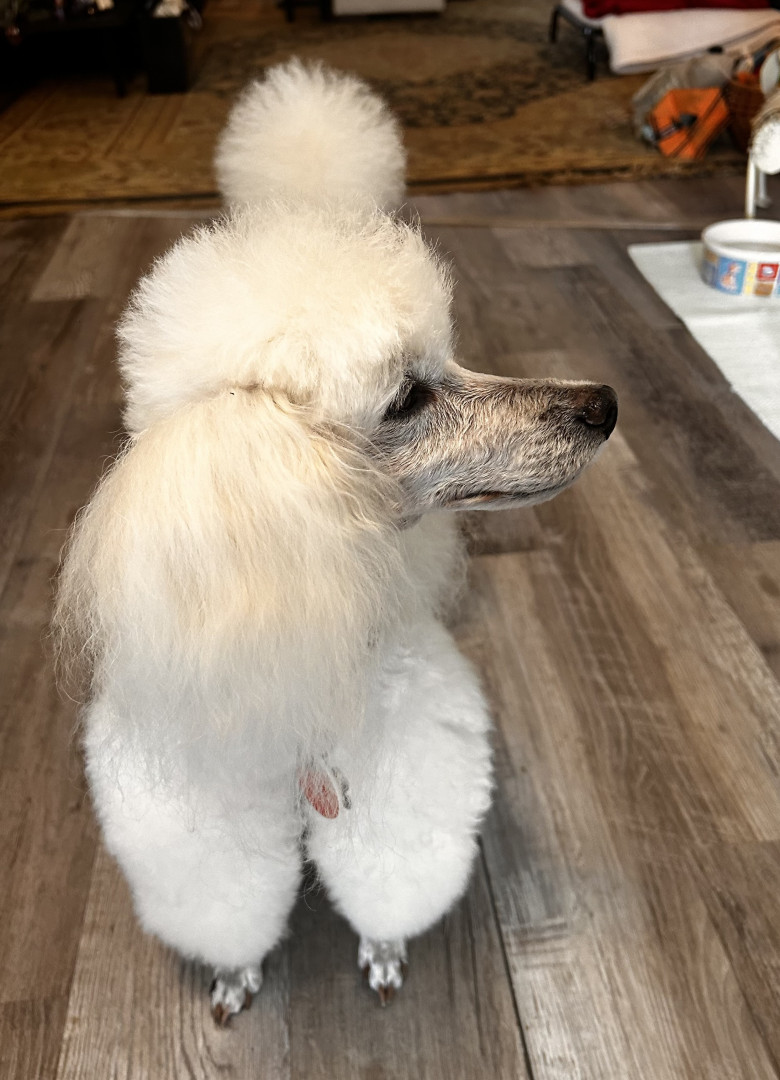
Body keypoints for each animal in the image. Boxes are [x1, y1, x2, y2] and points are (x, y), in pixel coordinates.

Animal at [54, 60, 617, 1022]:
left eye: (453, 358)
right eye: (407, 399)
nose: (602, 405)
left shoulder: (404, 774)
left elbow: (390, 877)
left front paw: (384, 952)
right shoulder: (197, 817)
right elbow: (229, 904)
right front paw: (236, 973)